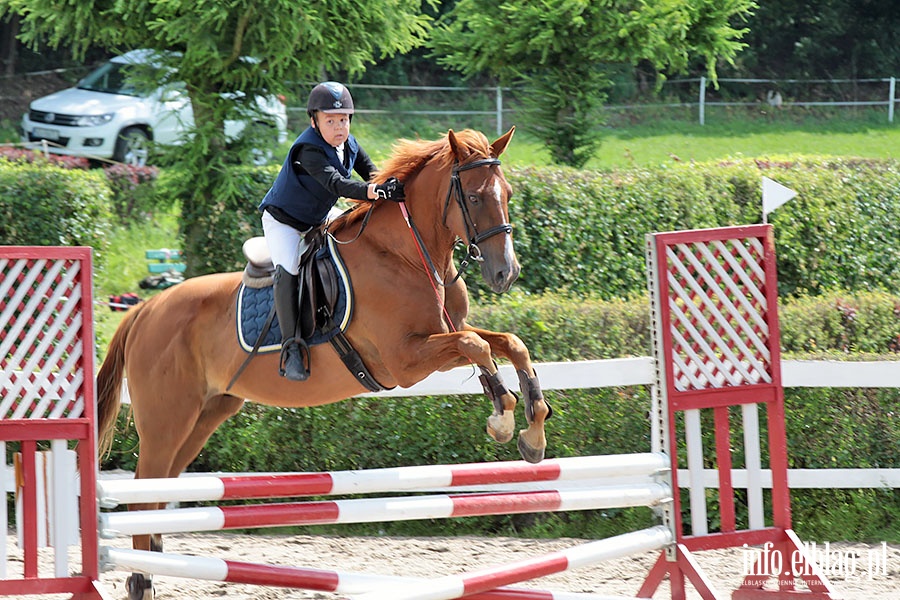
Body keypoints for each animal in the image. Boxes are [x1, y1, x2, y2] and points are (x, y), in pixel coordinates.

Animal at [95, 126, 552, 600]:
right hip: (167, 419)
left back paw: (149, 567)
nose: (506, 274)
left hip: (206, 414)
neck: (409, 254)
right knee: (143, 491)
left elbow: (508, 344)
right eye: (475, 197)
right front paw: (502, 417)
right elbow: (475, 346)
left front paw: (532, 432)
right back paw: (141, 580)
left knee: (159, 490)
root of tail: (144, 309)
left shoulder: (444, 334)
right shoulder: (406, 361)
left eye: (508, 193)